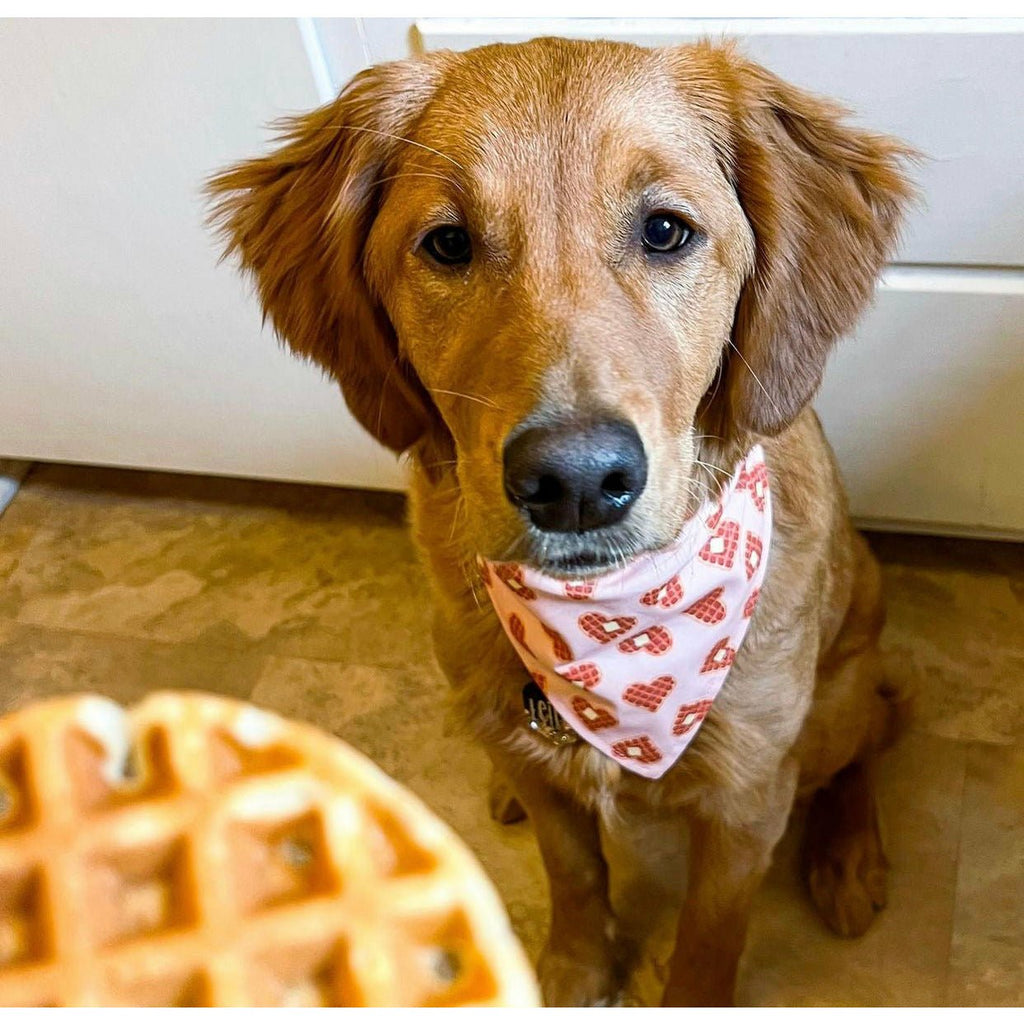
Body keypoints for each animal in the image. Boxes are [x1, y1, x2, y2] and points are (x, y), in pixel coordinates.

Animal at [207, 39, 913, 1007]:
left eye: (666, 231)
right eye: (448, 243)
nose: (576, 483)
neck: (615, 637)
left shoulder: (745, 799)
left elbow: (708, 938)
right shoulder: (542, 767)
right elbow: (573, 870)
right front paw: (576, 971)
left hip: (839, 699)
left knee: (869, 737)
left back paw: (850, 857)